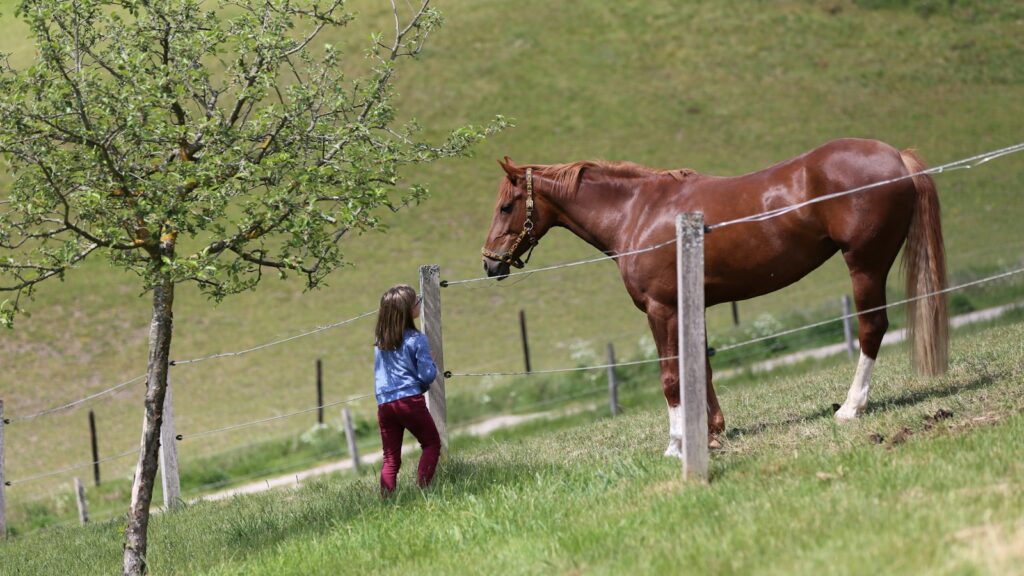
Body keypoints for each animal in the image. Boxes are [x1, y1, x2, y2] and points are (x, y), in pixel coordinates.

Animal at [480, 138, 948, 457]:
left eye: (505, 207)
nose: (488, 263)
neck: (638, 212)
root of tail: (895, 155)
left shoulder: (661, 310)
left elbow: (671, 376)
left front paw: (676, 443)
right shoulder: (691, 306)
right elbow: (699, 366)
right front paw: (712, 432)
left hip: (865, 265)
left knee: (872, 328)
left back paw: (851, 408)